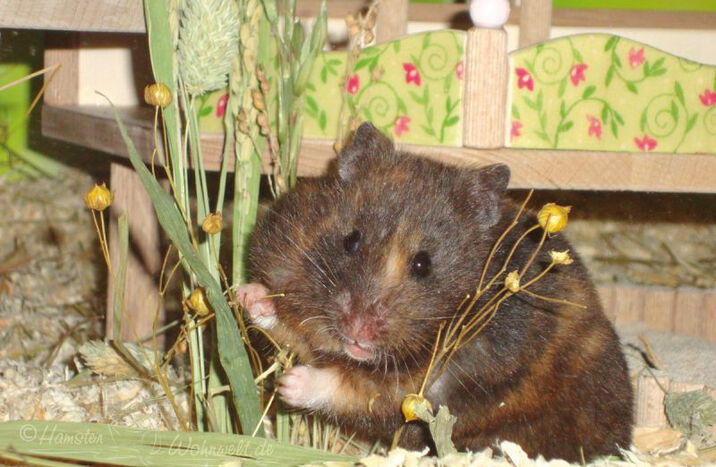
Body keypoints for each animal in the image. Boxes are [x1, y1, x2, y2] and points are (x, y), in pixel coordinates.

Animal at [237, 122, 633, 462]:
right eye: (350, 241)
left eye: (423, 264)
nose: (357, 331)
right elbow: (289, 332)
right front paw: (248, 295)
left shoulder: (443, 381)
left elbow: (359, 391)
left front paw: (288, 384)